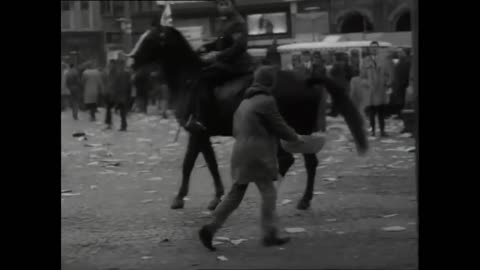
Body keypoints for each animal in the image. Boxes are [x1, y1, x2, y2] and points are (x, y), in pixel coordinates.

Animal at [127, 25, 368, 211]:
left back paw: (293, 196)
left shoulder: (196, 131)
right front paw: (216, 196)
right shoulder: (202, 134)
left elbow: (188, 163)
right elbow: (210, 163)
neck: (188, 79)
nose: (131, 60)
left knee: (298, 161)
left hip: (288, 129)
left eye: (149, 39)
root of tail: (308, 79)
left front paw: (179, 199)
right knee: (303, 162)